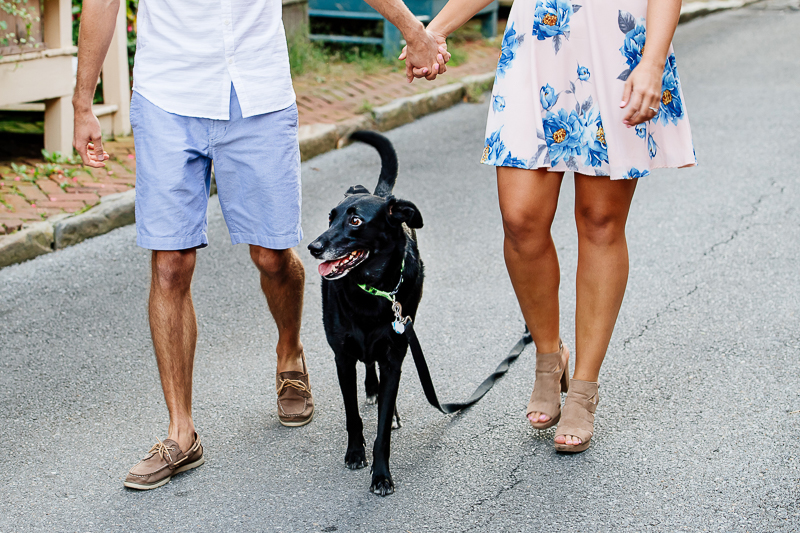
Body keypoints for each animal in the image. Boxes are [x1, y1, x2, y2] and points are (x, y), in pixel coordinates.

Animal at [310, 129, 424, 494]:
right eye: (330, 217)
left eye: (356, 221)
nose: (314, 247)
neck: (370, 289)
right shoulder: (342, 357)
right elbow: (352, 416)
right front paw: (354, 453)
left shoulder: (394, 354)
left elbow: (382, 429)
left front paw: (381, 474)